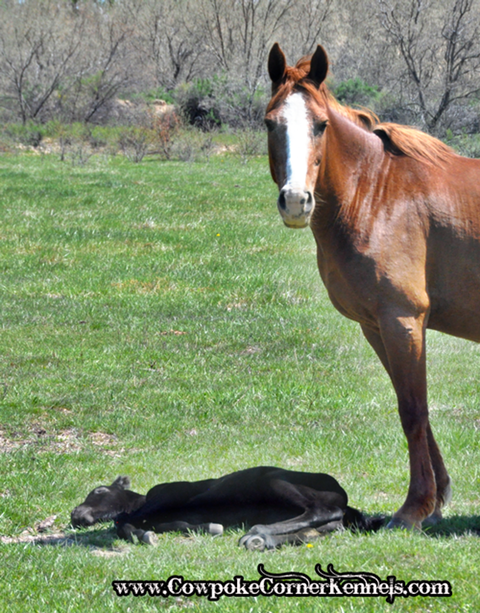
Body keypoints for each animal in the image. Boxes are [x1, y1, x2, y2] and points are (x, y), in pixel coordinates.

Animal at [70, 464, 382, 548]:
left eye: (98, 491)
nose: (75, 514)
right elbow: (181, 525)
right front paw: (210, 527)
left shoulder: (165, 497)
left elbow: (124, 524)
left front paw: (143, 535)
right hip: (324, 525)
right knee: (312, 529)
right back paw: (263, 539)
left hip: (275, 480)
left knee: (321, 510)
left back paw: (257, 532)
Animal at [266, 44, 480, 532]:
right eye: (270, 123)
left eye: (321, 125)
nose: (295, 201)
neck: (377, 193)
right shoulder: (376, 326)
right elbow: (413, 405)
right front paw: (437, 499)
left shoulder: (402, 320)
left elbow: (413, 411)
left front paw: (413, 508)